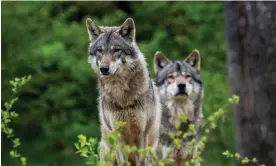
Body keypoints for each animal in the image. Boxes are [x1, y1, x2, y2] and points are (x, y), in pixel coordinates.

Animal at [85, 17, 162, 165]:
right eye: (100, 50)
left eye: (116, 50)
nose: (104, 68)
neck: (122, 97)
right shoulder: (118, 136)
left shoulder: (142, 134)